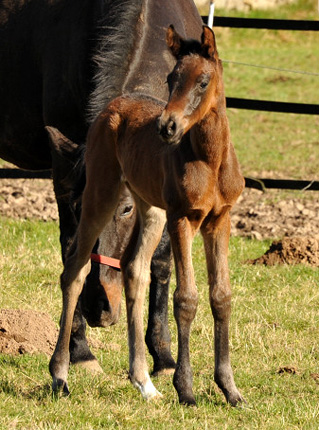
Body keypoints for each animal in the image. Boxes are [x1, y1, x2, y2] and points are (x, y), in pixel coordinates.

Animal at [49, 24, 245, 406]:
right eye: (171, 78)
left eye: (203, 81)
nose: (167, 127)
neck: (209, 160)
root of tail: (114, 105)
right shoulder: (183, 218)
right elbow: (186, 298)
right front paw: (186, 389)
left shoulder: (219, 220)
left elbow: (221, 296)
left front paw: (230, 389)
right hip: (101, 195)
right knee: (75, 270)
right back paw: (60, 375)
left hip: (150, 210)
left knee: (134, 271)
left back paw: (143, 382)